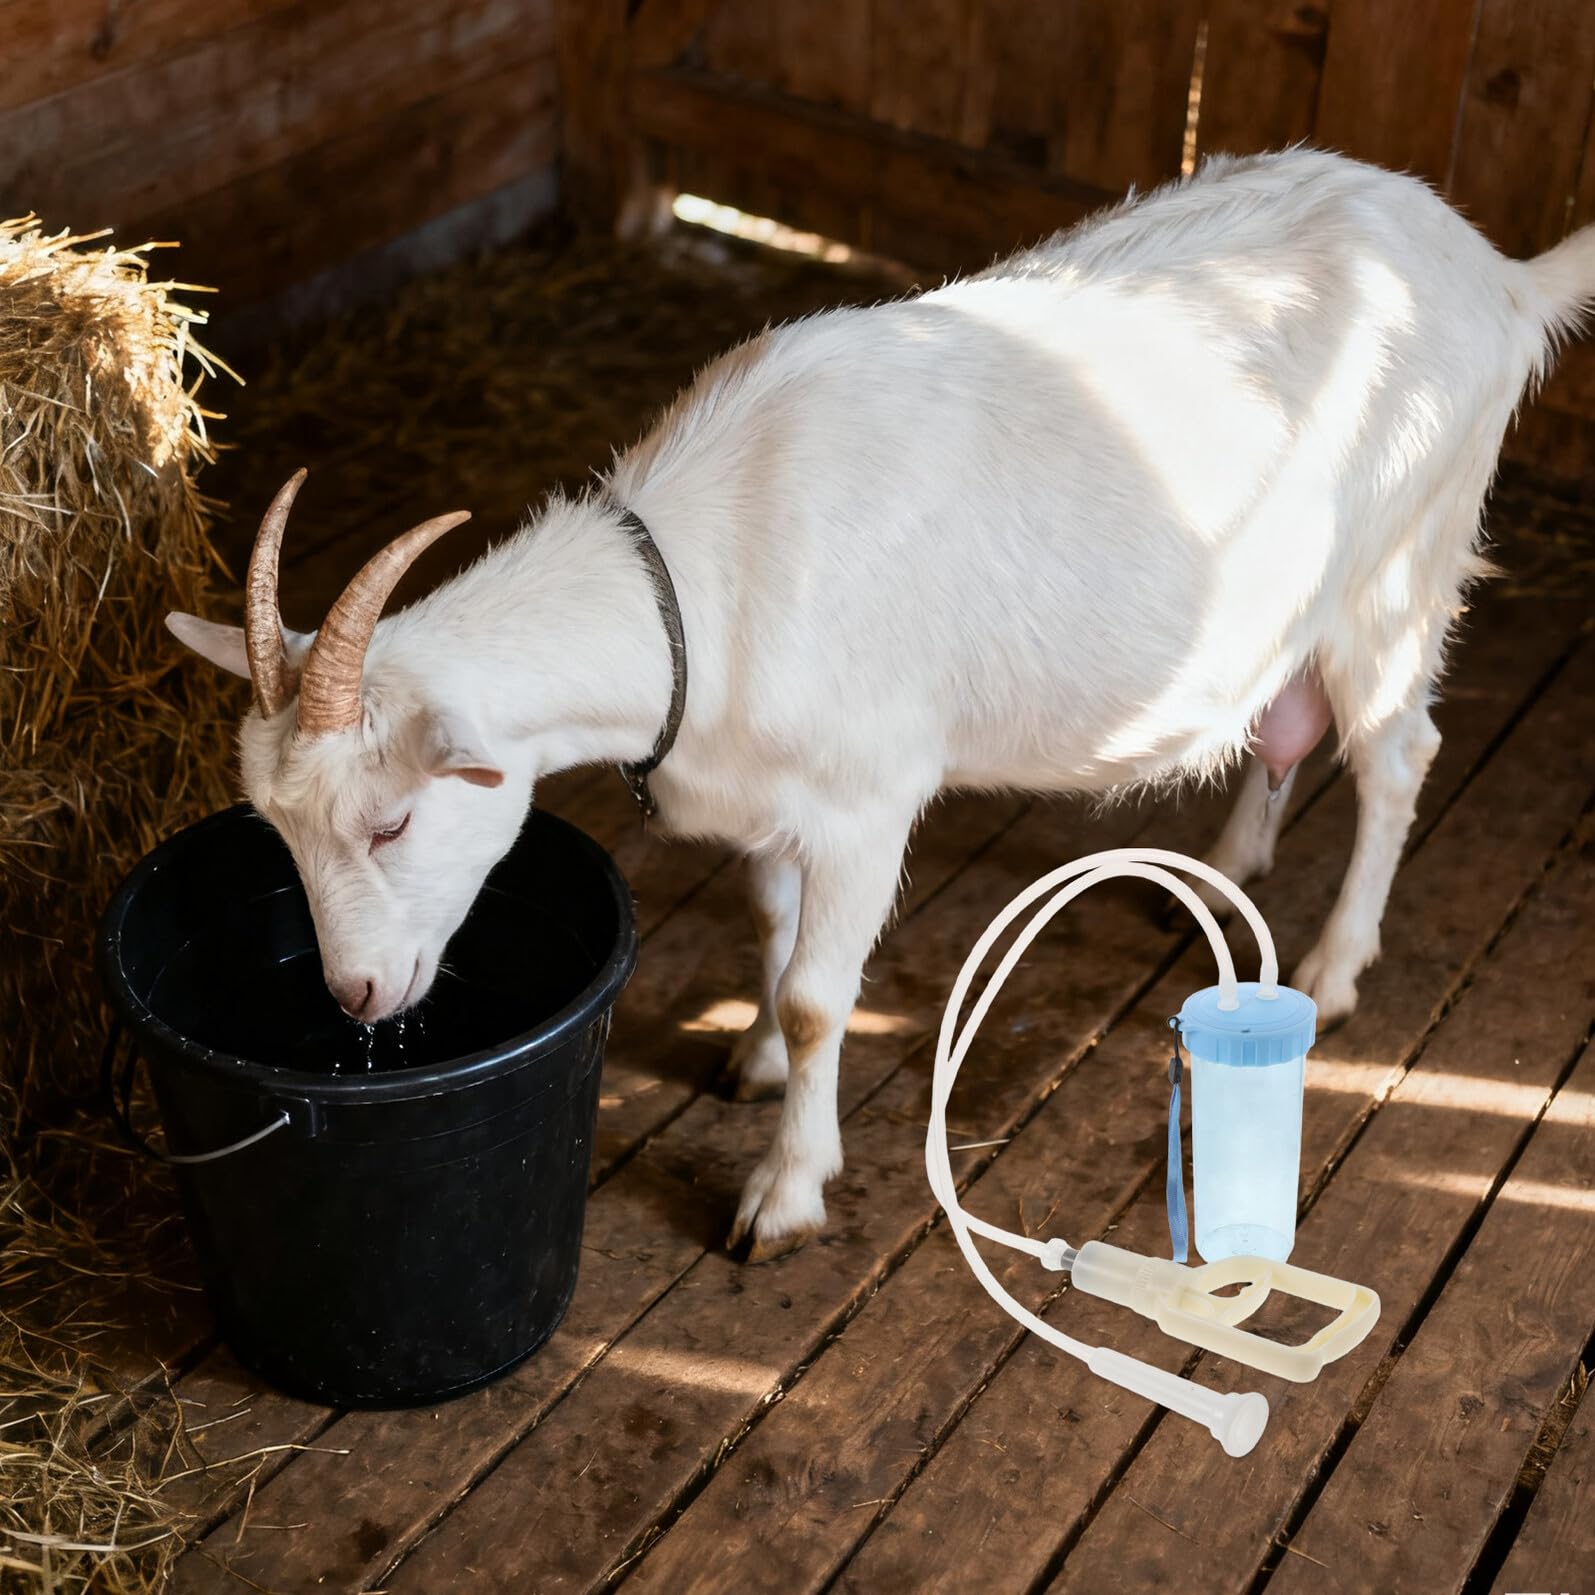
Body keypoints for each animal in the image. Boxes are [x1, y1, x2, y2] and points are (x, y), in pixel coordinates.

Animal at [169, 148, 1595, 1262]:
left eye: (393, 823)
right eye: (277, 829)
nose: (354, 997)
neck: (709, 580)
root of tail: (1497, 273)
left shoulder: (865, 802)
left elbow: (818, 992)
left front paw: (782, 1192)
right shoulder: (768, 803)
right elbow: (768, 928)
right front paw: (748, 1059)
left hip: (1398, 573)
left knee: (1398, 752)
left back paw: (1334, 966)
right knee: (1281, 719)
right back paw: (1232, 863)